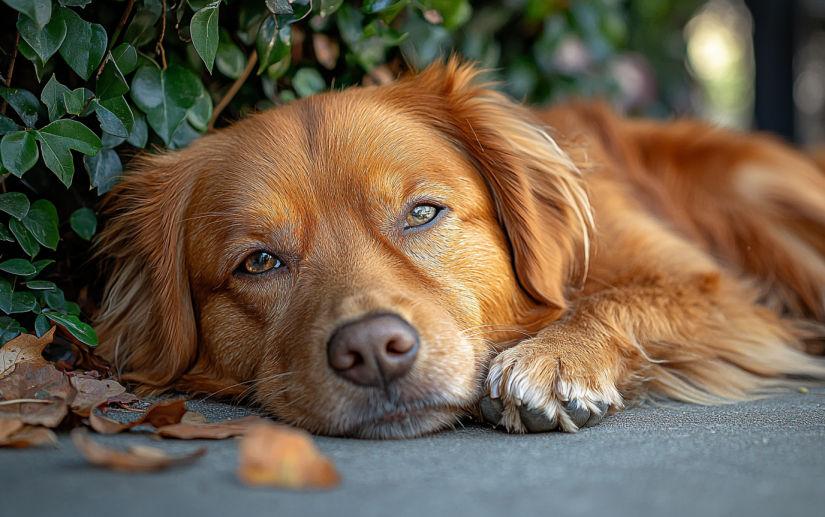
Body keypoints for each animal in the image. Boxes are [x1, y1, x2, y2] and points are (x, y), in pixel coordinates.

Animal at [93, 61, 824, 440]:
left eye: (422, 213)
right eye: (259, 262)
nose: (372, 351)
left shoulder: (714, 289)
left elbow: (617, 300)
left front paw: (558, 358)